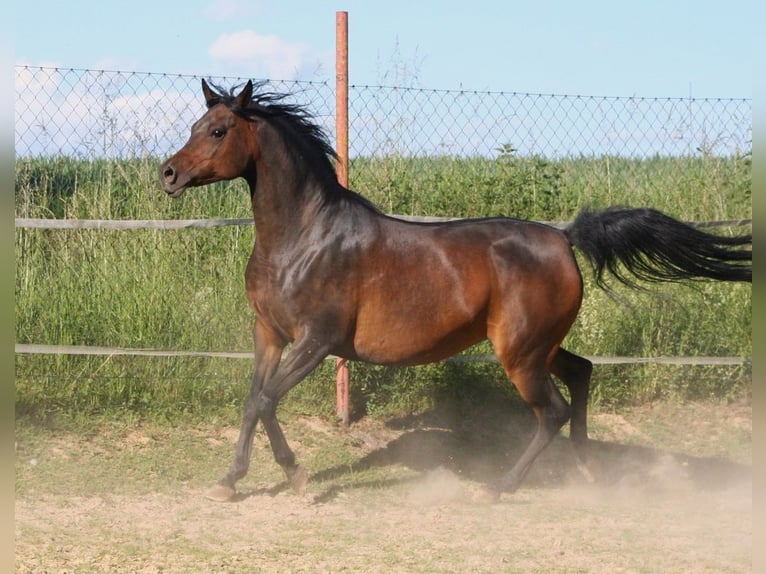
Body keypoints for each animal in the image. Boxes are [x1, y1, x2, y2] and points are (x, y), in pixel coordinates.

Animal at [160, 79, 751, 503]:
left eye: (219, 131)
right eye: (194, 123)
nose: (167, 173)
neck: (305, 237)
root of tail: (564, 237)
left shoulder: (316, 341)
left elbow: (265, 401)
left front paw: (299, 479)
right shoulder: (269, 333)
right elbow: (252, 402)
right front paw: (228, 482)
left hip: (520, 353)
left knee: (552, 412)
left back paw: (499, 487)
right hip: (538, 346)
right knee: (582, 374)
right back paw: (587, 468)